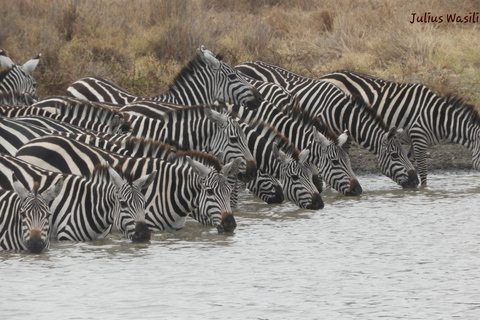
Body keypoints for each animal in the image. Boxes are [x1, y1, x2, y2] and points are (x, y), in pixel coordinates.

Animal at [236, 61, 420, 189]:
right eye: (395, 155)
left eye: (405, 153)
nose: (415, 181)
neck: (340, 112)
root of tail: (243, 64)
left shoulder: (341, 137)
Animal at [318, 70, 480, 185]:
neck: (438, 118)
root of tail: (325, 76)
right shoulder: (418, 136)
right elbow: (423, 172)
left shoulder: (416, 143)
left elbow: (409, 164)